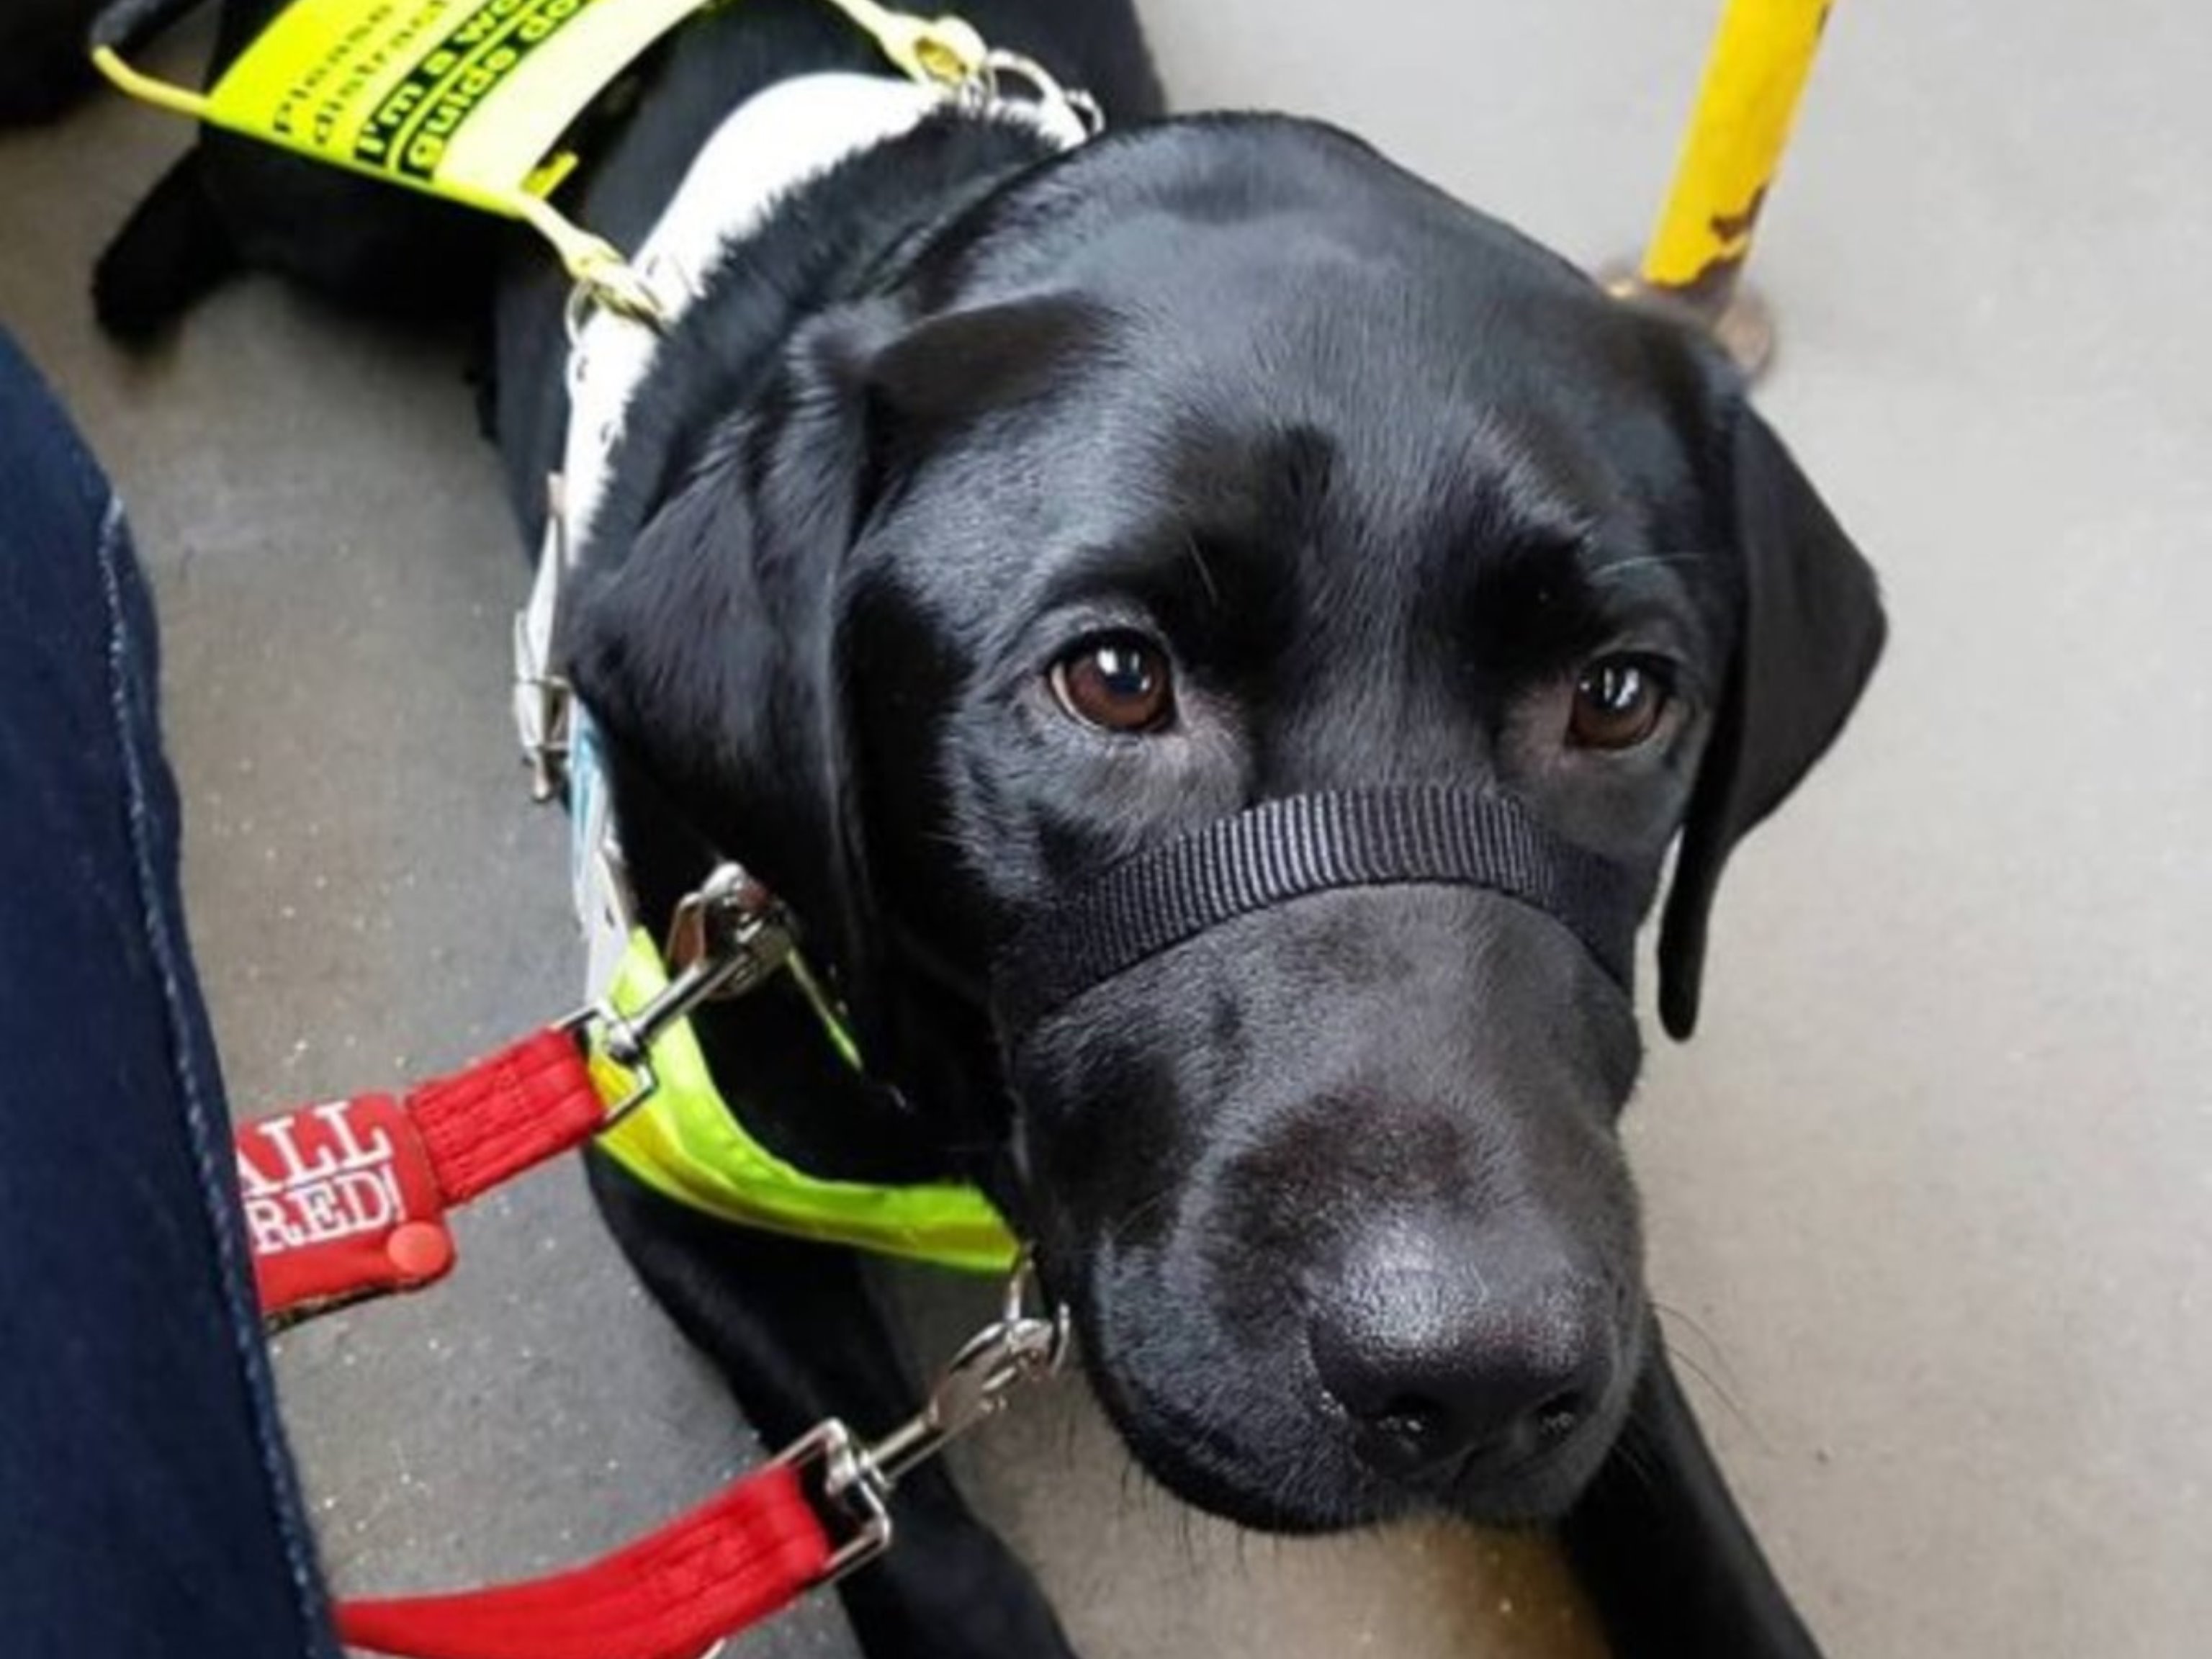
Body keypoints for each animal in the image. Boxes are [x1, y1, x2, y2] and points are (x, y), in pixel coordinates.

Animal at [90, 3, 1884, 1659]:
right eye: (1114, 678)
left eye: (1622, 696)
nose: (1477, 1379)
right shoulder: (660, 1160)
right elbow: (920, 1541)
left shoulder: (1592, 1245)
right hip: (339, 213)